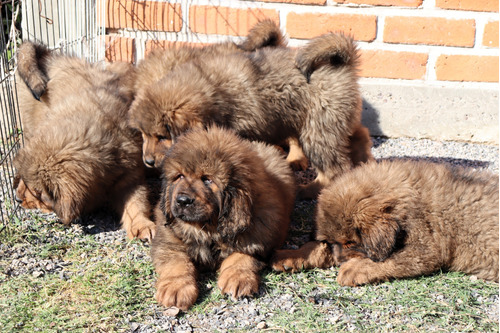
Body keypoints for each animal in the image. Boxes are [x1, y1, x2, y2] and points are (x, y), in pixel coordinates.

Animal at [14, 40, 154, 239]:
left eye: (36, 192)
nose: (17, 199)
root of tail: (49, 56)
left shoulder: (129, 179)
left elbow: (136, 205)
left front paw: (142, 225)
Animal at [130, 27, 376, 197]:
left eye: (162, 136)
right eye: (144, 134)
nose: (147, 161)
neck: (209, 89)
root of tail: (341, 66)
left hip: (317, 130)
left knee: (332, 168)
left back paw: (310, 189)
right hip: (334, 121)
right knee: (359, 137)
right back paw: (366, 165)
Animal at [150, 126, 294, 310]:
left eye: (207, 179)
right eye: (179, 176)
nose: (182, 200)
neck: (208, 230)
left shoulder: (259, 238)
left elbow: (240, 256)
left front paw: (237, 278)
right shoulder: (167, 241)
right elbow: (177, 263)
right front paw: (176, 288)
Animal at [272, 160, 498, 284]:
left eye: (351, 243)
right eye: (332, 241)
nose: (339, 262)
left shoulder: (426, 248)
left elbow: (391, 259)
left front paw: (355, 268)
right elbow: (316, 247)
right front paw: (291, 256)